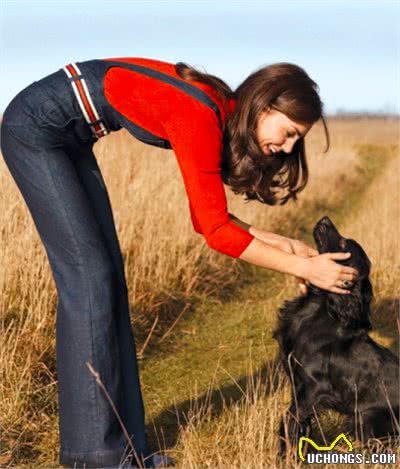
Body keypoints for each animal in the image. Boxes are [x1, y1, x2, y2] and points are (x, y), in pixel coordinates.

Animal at [274, 216, 398, 454]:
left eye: (342, 244)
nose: (325, 219)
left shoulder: (309, 391)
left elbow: (292, 425)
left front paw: (287, 457)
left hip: (368, 418)